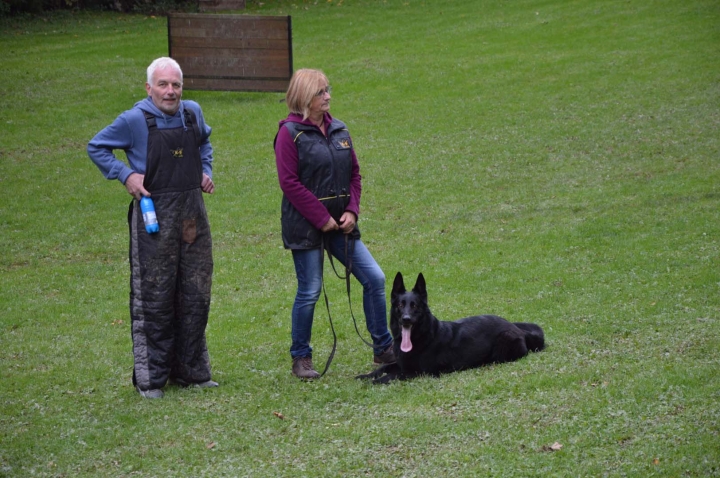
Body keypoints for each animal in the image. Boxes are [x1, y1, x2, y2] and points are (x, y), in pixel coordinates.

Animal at [358, 272, 544, 384]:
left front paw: (373, 382)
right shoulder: (401, 364)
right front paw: (365, 376)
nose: (406, 320)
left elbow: (391, 375)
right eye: (400, 305)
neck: (421, 337)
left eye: (415, 306)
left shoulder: (416, 372)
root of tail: (517, 328)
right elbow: (383, 368)